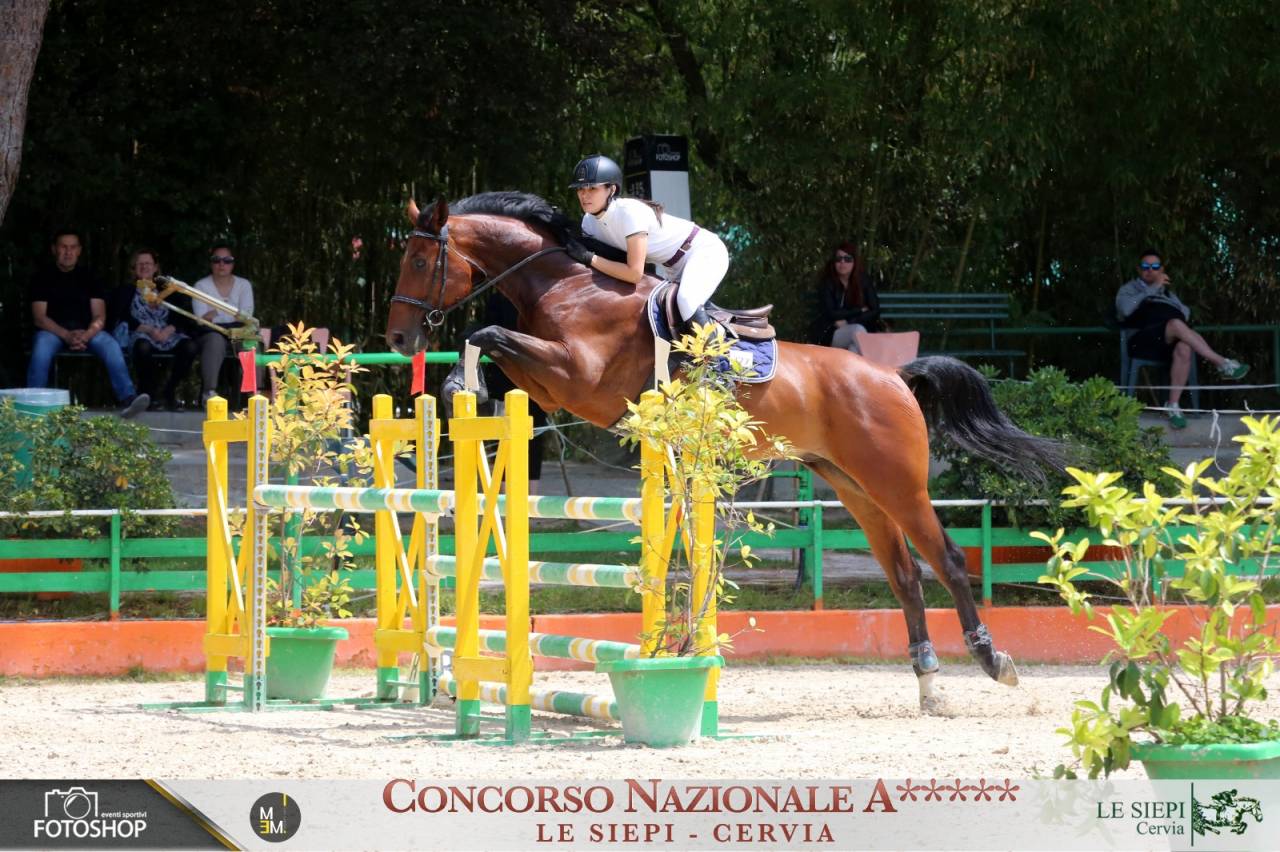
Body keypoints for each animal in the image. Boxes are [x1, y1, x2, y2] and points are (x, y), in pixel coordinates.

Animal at [386, 191, 1063, 712]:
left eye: (419, 258)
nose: (397, 337)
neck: (569, 286)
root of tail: (893, 376)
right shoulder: (551, 381)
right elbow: (495, 346)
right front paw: (459, 387)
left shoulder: (578, 378)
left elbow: (488, 331)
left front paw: (460, 381)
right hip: (854, 485)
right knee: (903, 574)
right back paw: (928, 686)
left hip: (898, 483)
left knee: (946, 559)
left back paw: (992, 660)